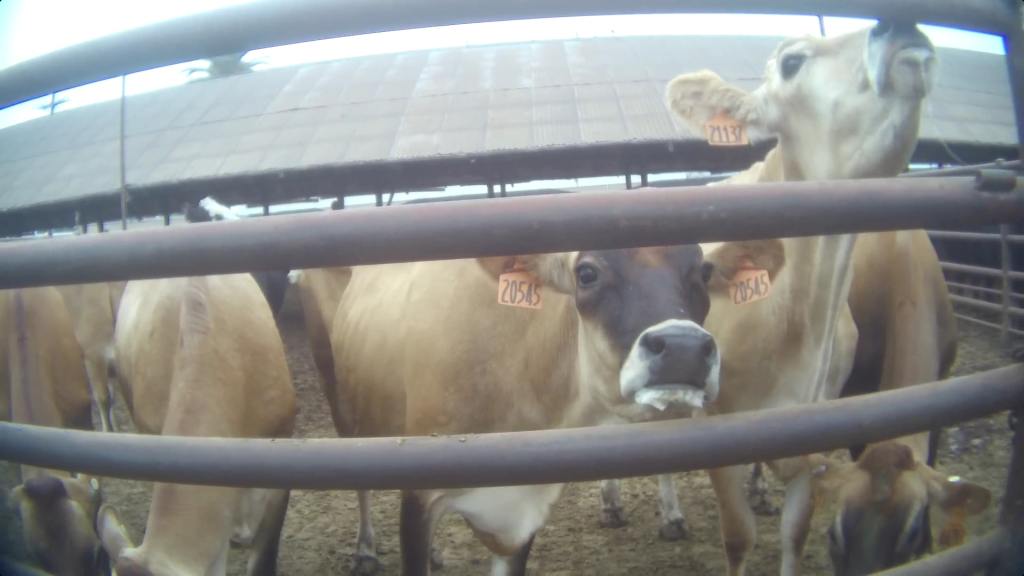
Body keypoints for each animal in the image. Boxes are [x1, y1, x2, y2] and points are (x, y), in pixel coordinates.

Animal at [324, 244, 735, 575]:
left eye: (704, 271)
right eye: (587, 273)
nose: (683, 348)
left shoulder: (525, 511)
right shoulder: (418, 497)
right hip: (347, 412)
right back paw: (365, 552)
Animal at [663, 20, 987, 575]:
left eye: (910, 539)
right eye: (792, 62)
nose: (899, 23)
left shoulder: (818, 427)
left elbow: (794, 533)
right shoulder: (719, 431)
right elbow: (738, 538)